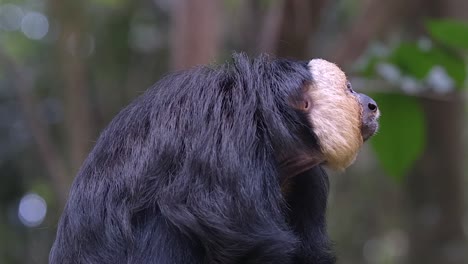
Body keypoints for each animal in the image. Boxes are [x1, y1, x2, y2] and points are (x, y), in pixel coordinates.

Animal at [49, 53, 378, 264]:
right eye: (350, 89)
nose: (372, 104)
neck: (272, 129)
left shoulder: (306, 178)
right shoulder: (227, 134)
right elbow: (240, 235)